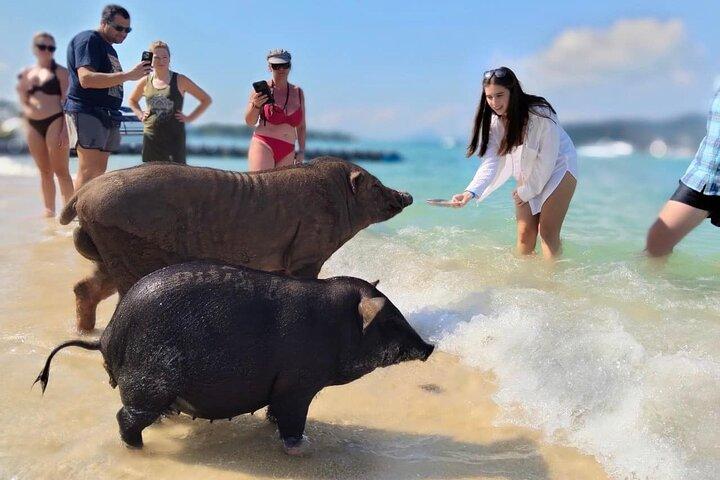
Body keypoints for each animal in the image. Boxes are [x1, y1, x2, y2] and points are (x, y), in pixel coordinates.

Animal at [35, 261, 434, 454]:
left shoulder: (283, 388)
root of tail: (107, 338)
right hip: (149, 380)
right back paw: (136, 449)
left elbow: (275, 414)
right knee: (125, 418)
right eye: (391, 320)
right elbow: (292, 421)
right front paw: (302, 450)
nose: (430, 347)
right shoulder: (298, 384)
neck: (332, 325)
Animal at [58, 158, 413, 332]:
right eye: (376, 186)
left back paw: (82, 331)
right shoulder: (306, 254)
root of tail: (82, 194)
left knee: (85, 287)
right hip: (125, 244)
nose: (407, 194)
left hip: (111, 248)